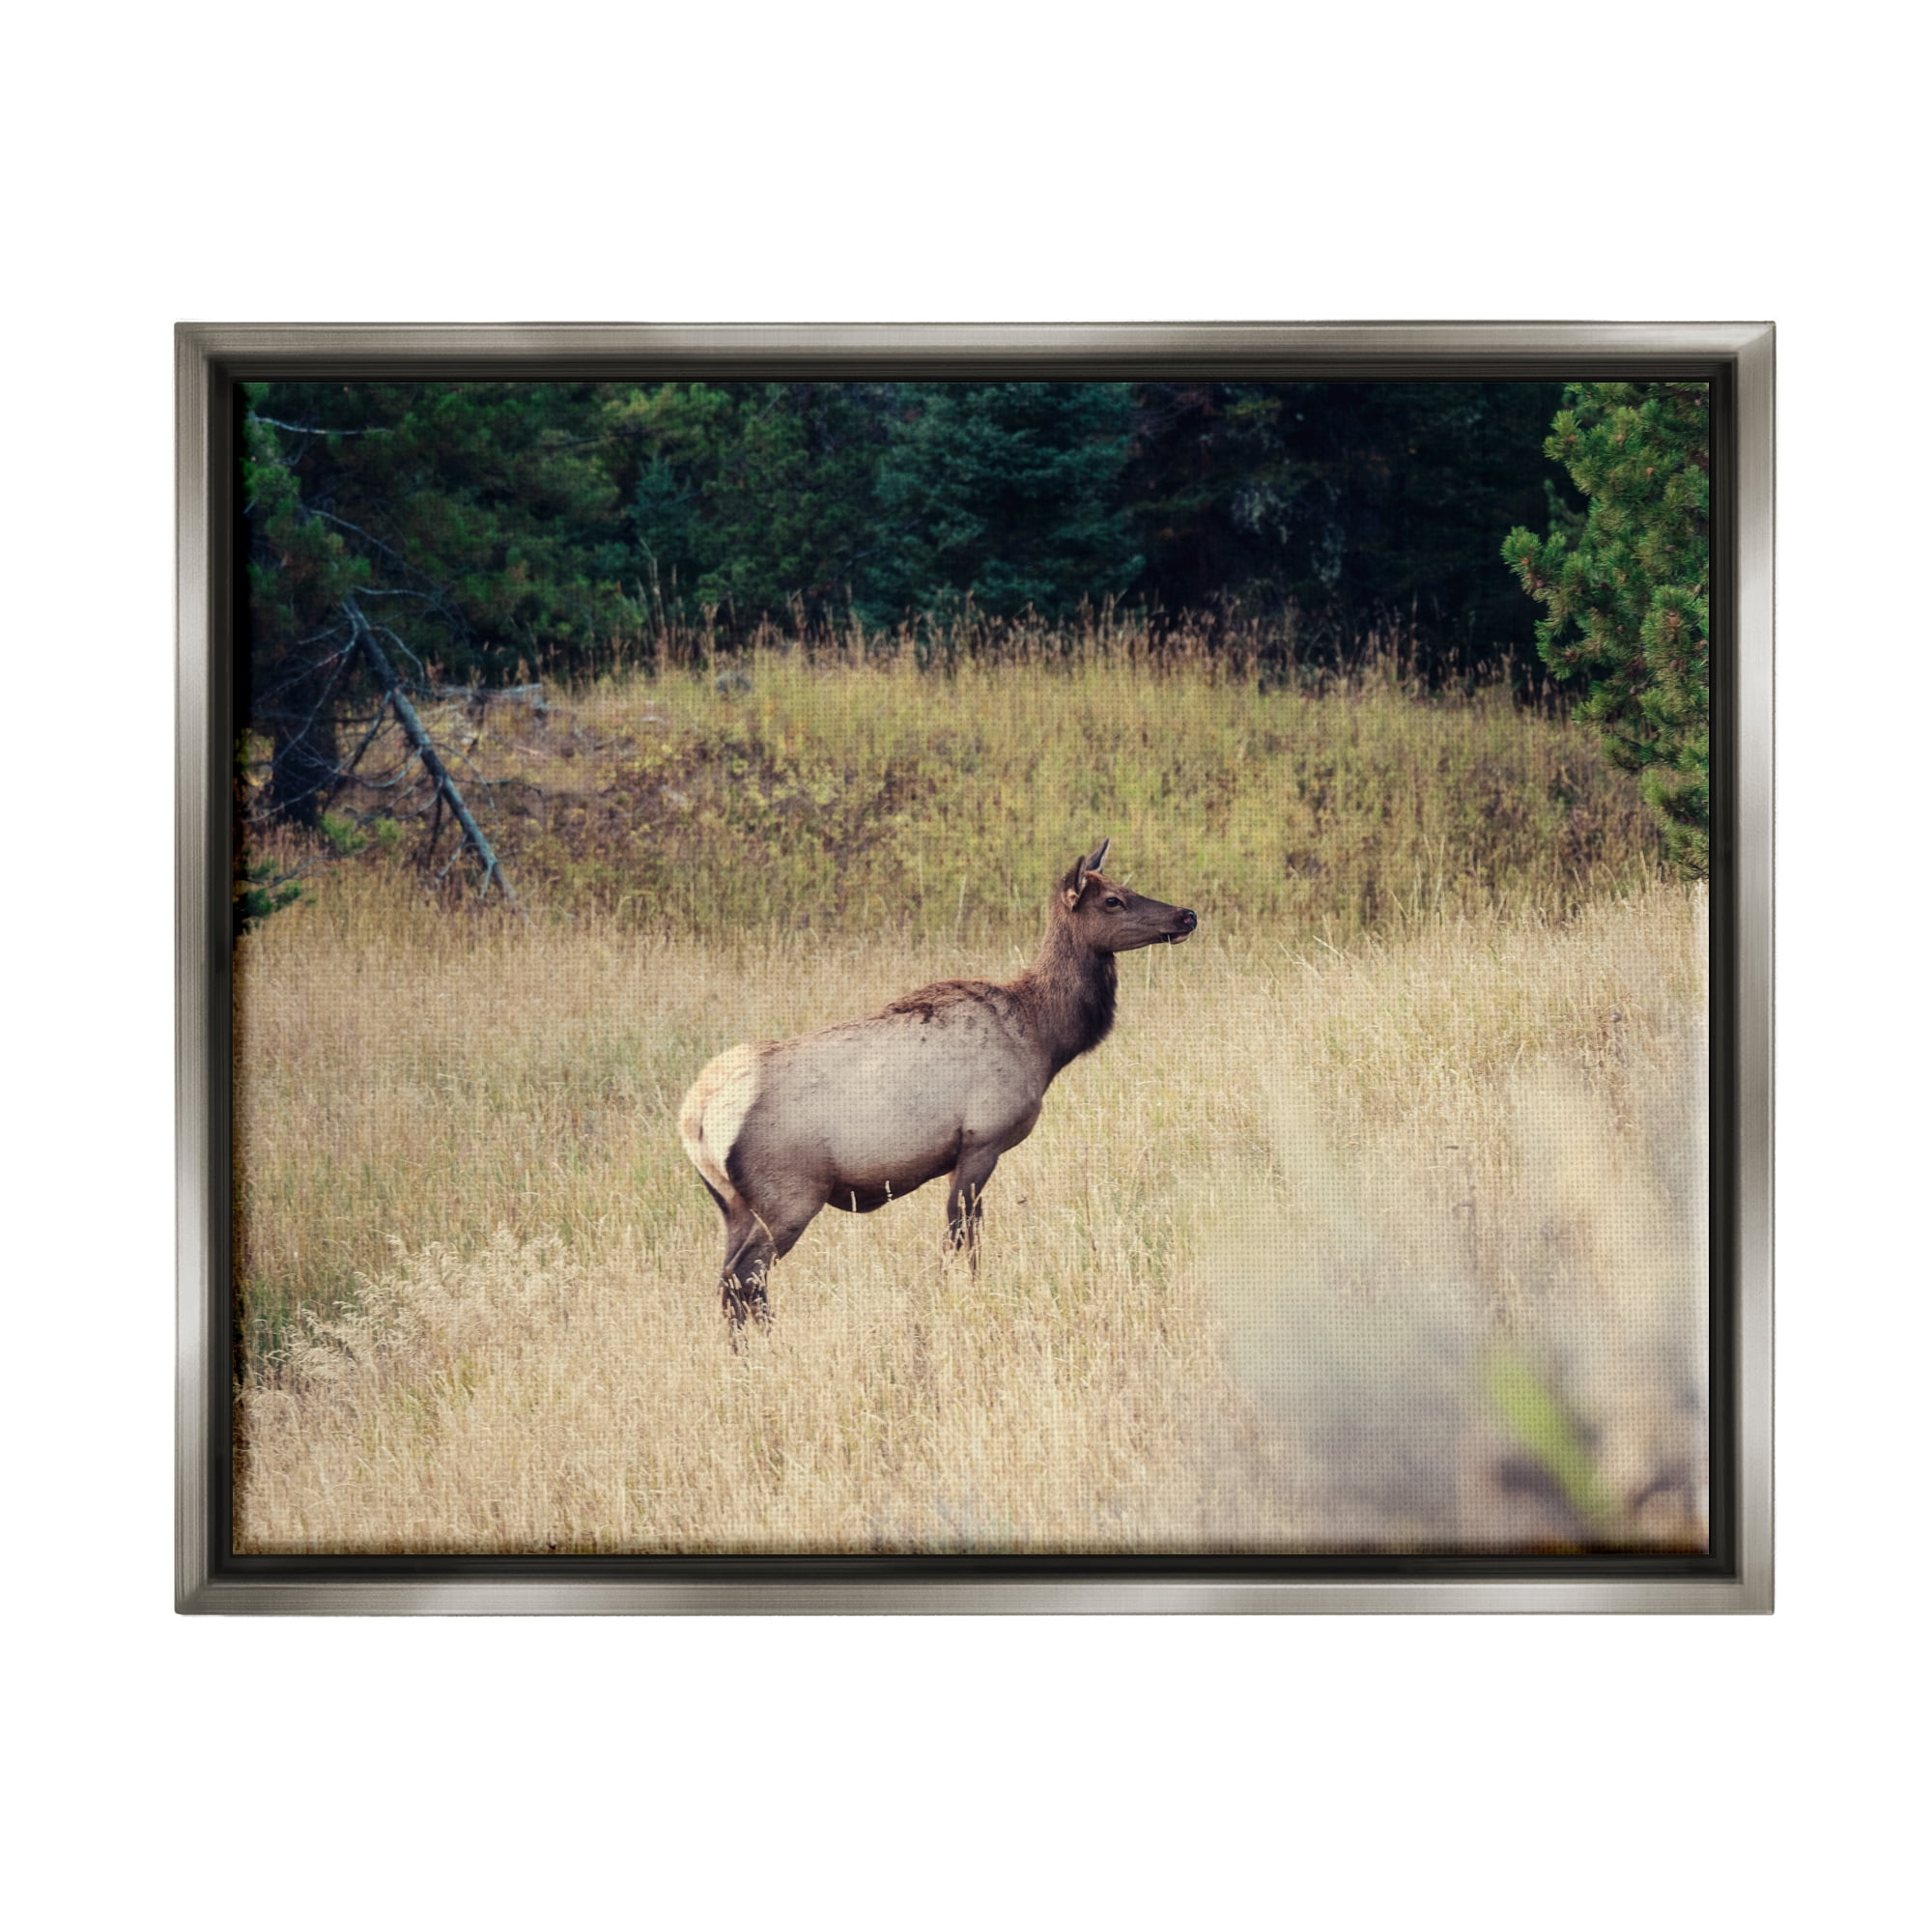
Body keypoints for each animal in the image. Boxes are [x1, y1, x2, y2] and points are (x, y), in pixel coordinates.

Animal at [677, 839, 1198, 1327]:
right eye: (1113, 900)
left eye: (1125, 888)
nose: (1187, 915)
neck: (1044, 1039)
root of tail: (696, 1117)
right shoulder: (982, 1139)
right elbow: (961, 1236)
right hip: (789, 1195)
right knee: (746, 1276)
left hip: (733, 1205)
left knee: (727, 1280)